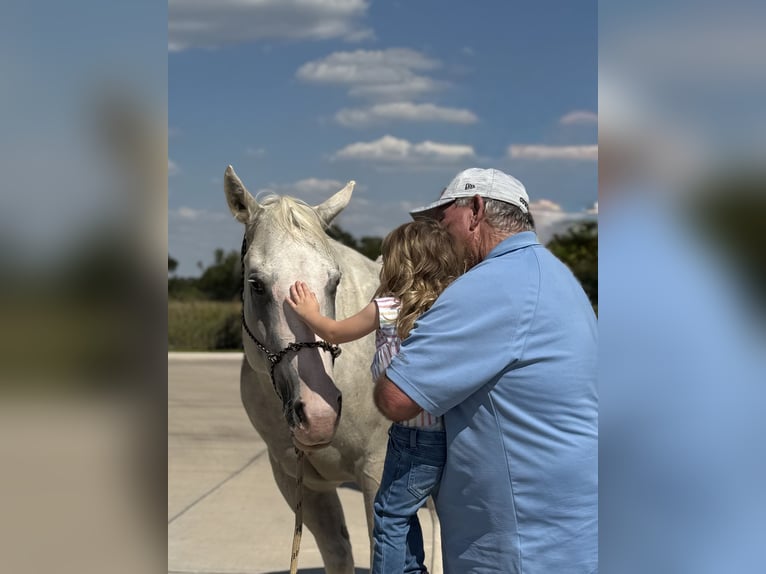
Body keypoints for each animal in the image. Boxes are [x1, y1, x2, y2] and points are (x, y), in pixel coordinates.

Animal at [223, 165, 393, 573]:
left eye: (334, 281)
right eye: (256, 284)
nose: (318, 416)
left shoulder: (377, 470)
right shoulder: (300, 483)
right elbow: (337, 551)